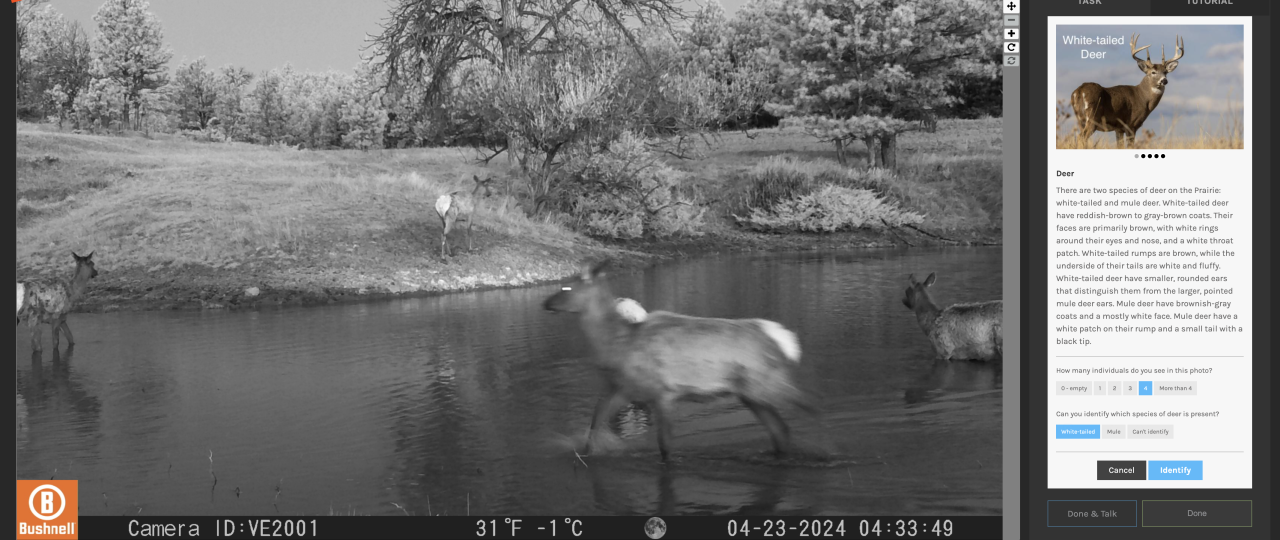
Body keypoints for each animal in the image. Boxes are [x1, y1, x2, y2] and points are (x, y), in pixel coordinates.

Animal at [544, 260, 819, 462]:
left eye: (567, 287)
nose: (546, 303)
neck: (617, 342)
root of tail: (785, 341)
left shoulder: (664, 391)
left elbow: (665, 444)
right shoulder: (624, 388)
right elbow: (596, 418)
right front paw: (584, 451)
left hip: (765, 383)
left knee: (804, 407)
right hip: (749, 393)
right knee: (779, 429)